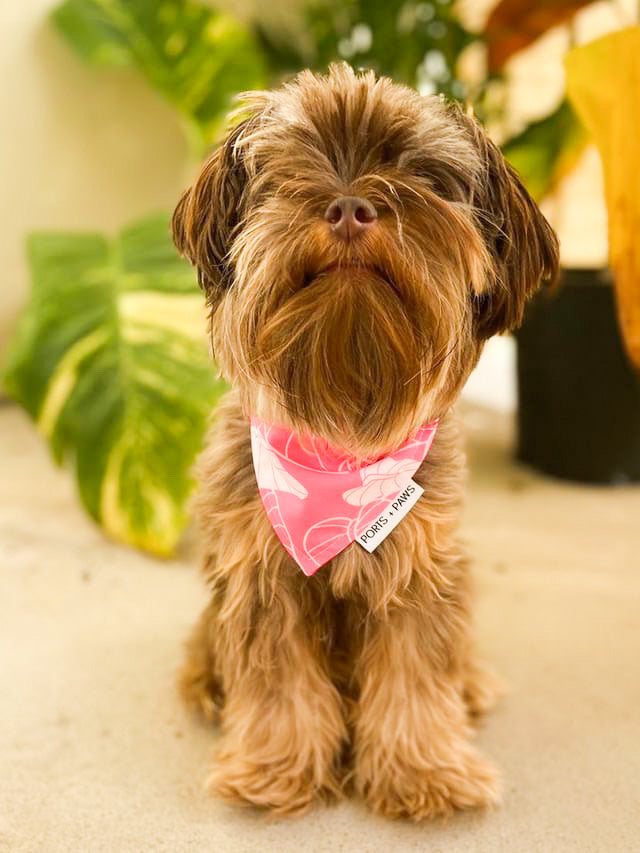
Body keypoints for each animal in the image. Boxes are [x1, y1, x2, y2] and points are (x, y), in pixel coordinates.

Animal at [172, 63, 556, 824]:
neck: (343, 442)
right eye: (298, 166)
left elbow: (416, 669)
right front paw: (278, 766)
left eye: (417, 173)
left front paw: (422, 769)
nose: (350, 206)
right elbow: (278, 677)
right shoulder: (260, 571)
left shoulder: (420, 565)